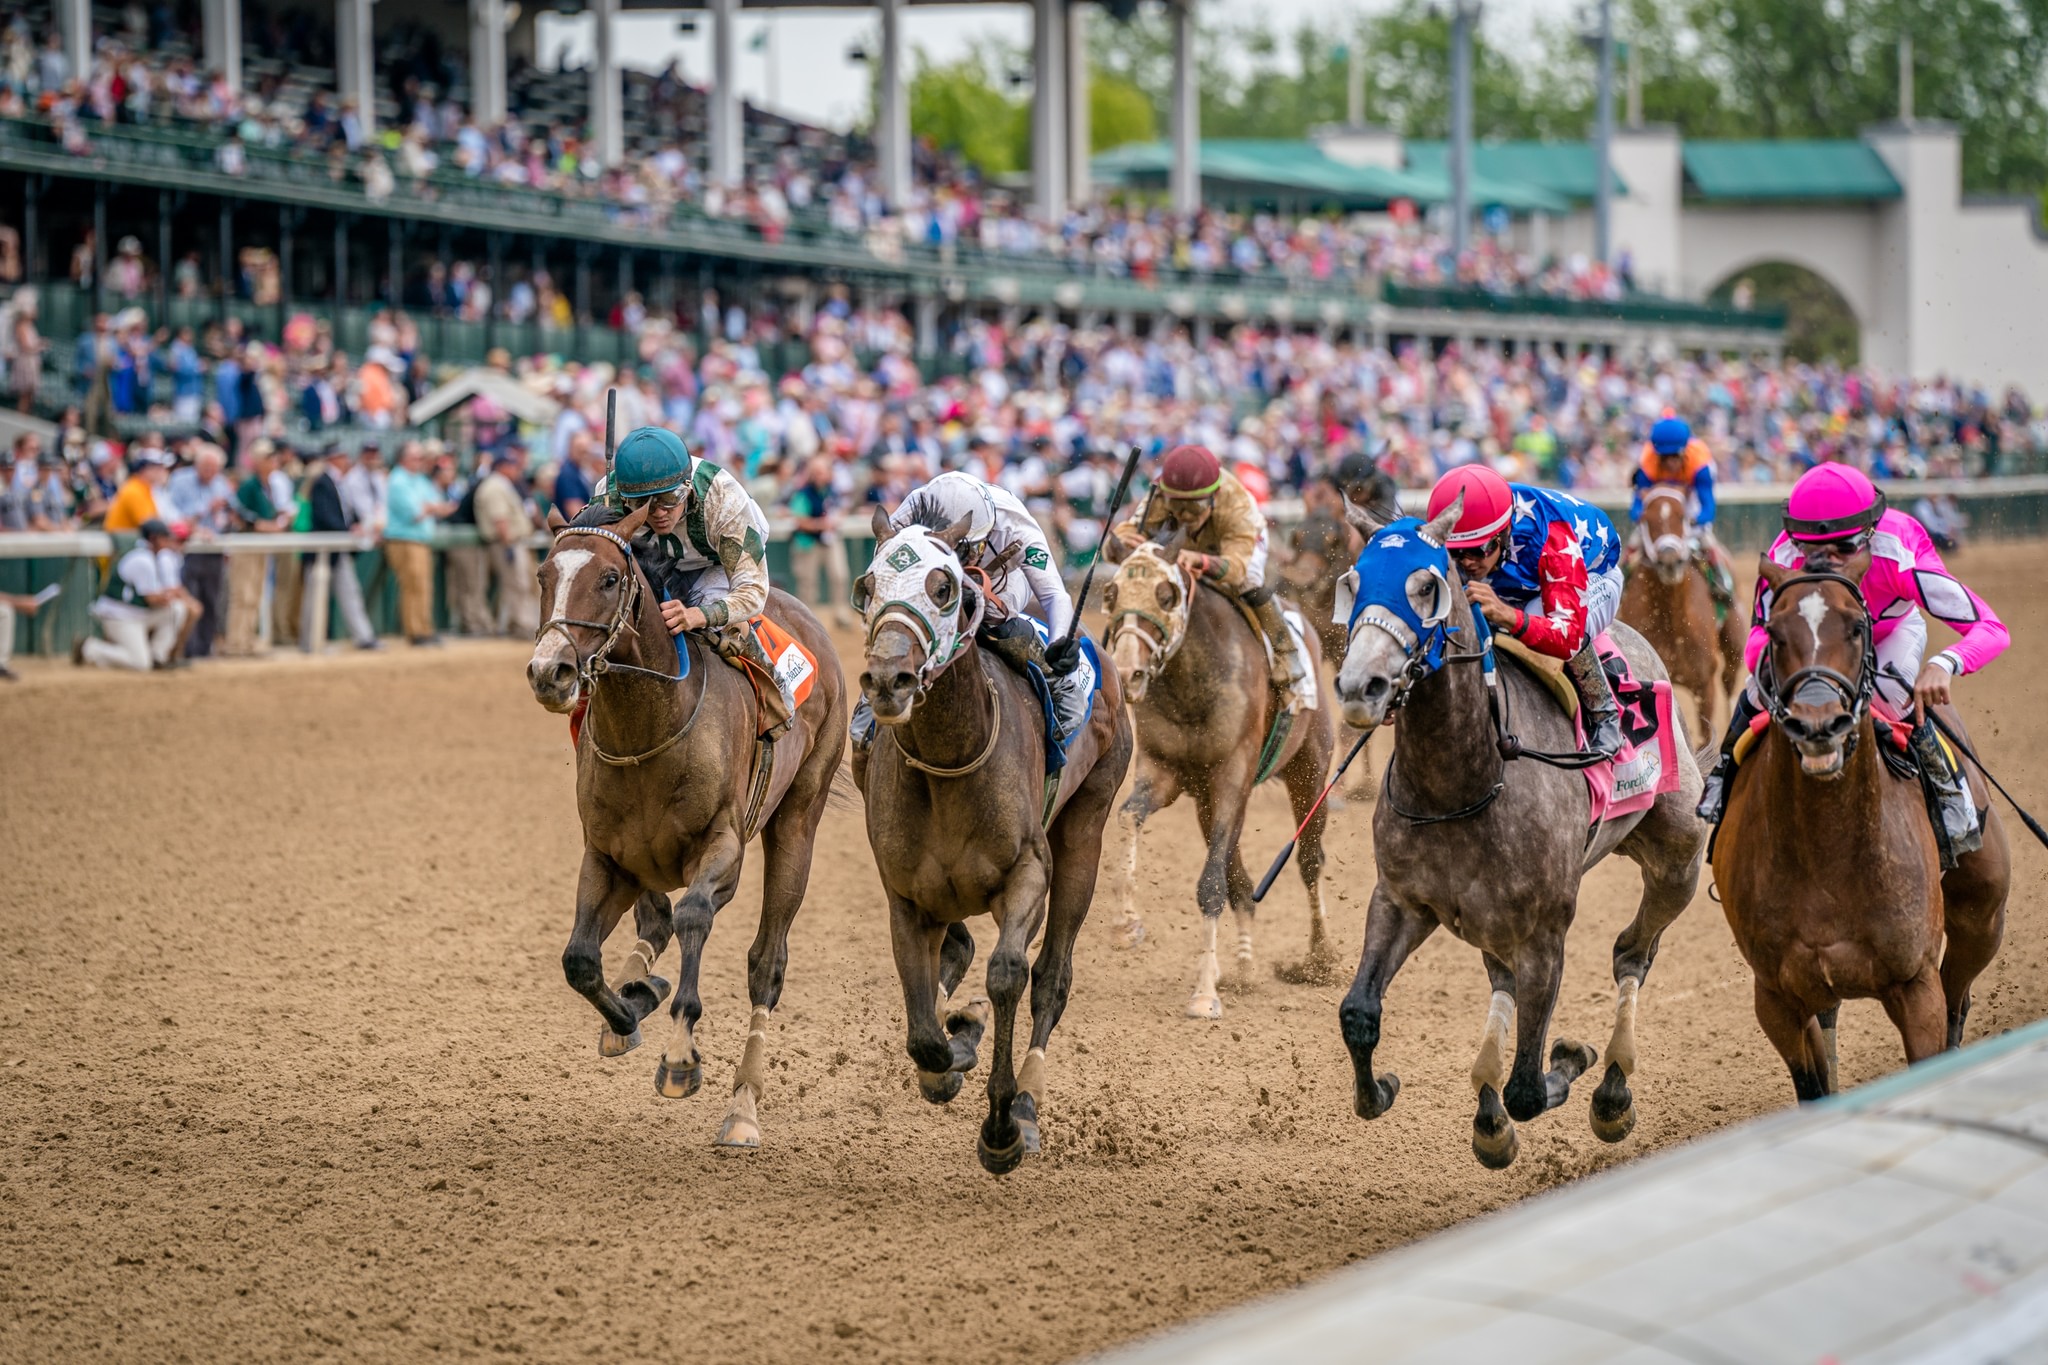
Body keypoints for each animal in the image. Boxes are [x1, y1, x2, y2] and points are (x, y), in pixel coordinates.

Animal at [532, 501, 851, 1154]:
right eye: (542, 575)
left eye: (609, 578)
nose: (549, 671)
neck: (651, 727)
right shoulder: (606, 855)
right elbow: (580, 959)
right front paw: (629, 1012)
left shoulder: (724, 847)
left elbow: (695, 917)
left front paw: (679, 1057)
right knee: (652, 922)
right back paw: (635, 991)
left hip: (797, 820)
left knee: (765, 963)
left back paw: (743, 1109)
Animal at [1622, 489, 1736, 749]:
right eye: (1646, 518)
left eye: (1683, 516)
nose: (1669, 560)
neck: (1671, 619)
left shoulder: (1705, 685)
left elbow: (1705, 737)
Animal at [1712, 564, 1998, 1096]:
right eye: (1775, 633)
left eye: (1856, 628)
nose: (1818, 724)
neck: (1828, 849)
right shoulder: (1777, 997)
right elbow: (1814, 1086)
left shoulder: (1916, 986)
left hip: (1983, 914)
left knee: (1959, 994)